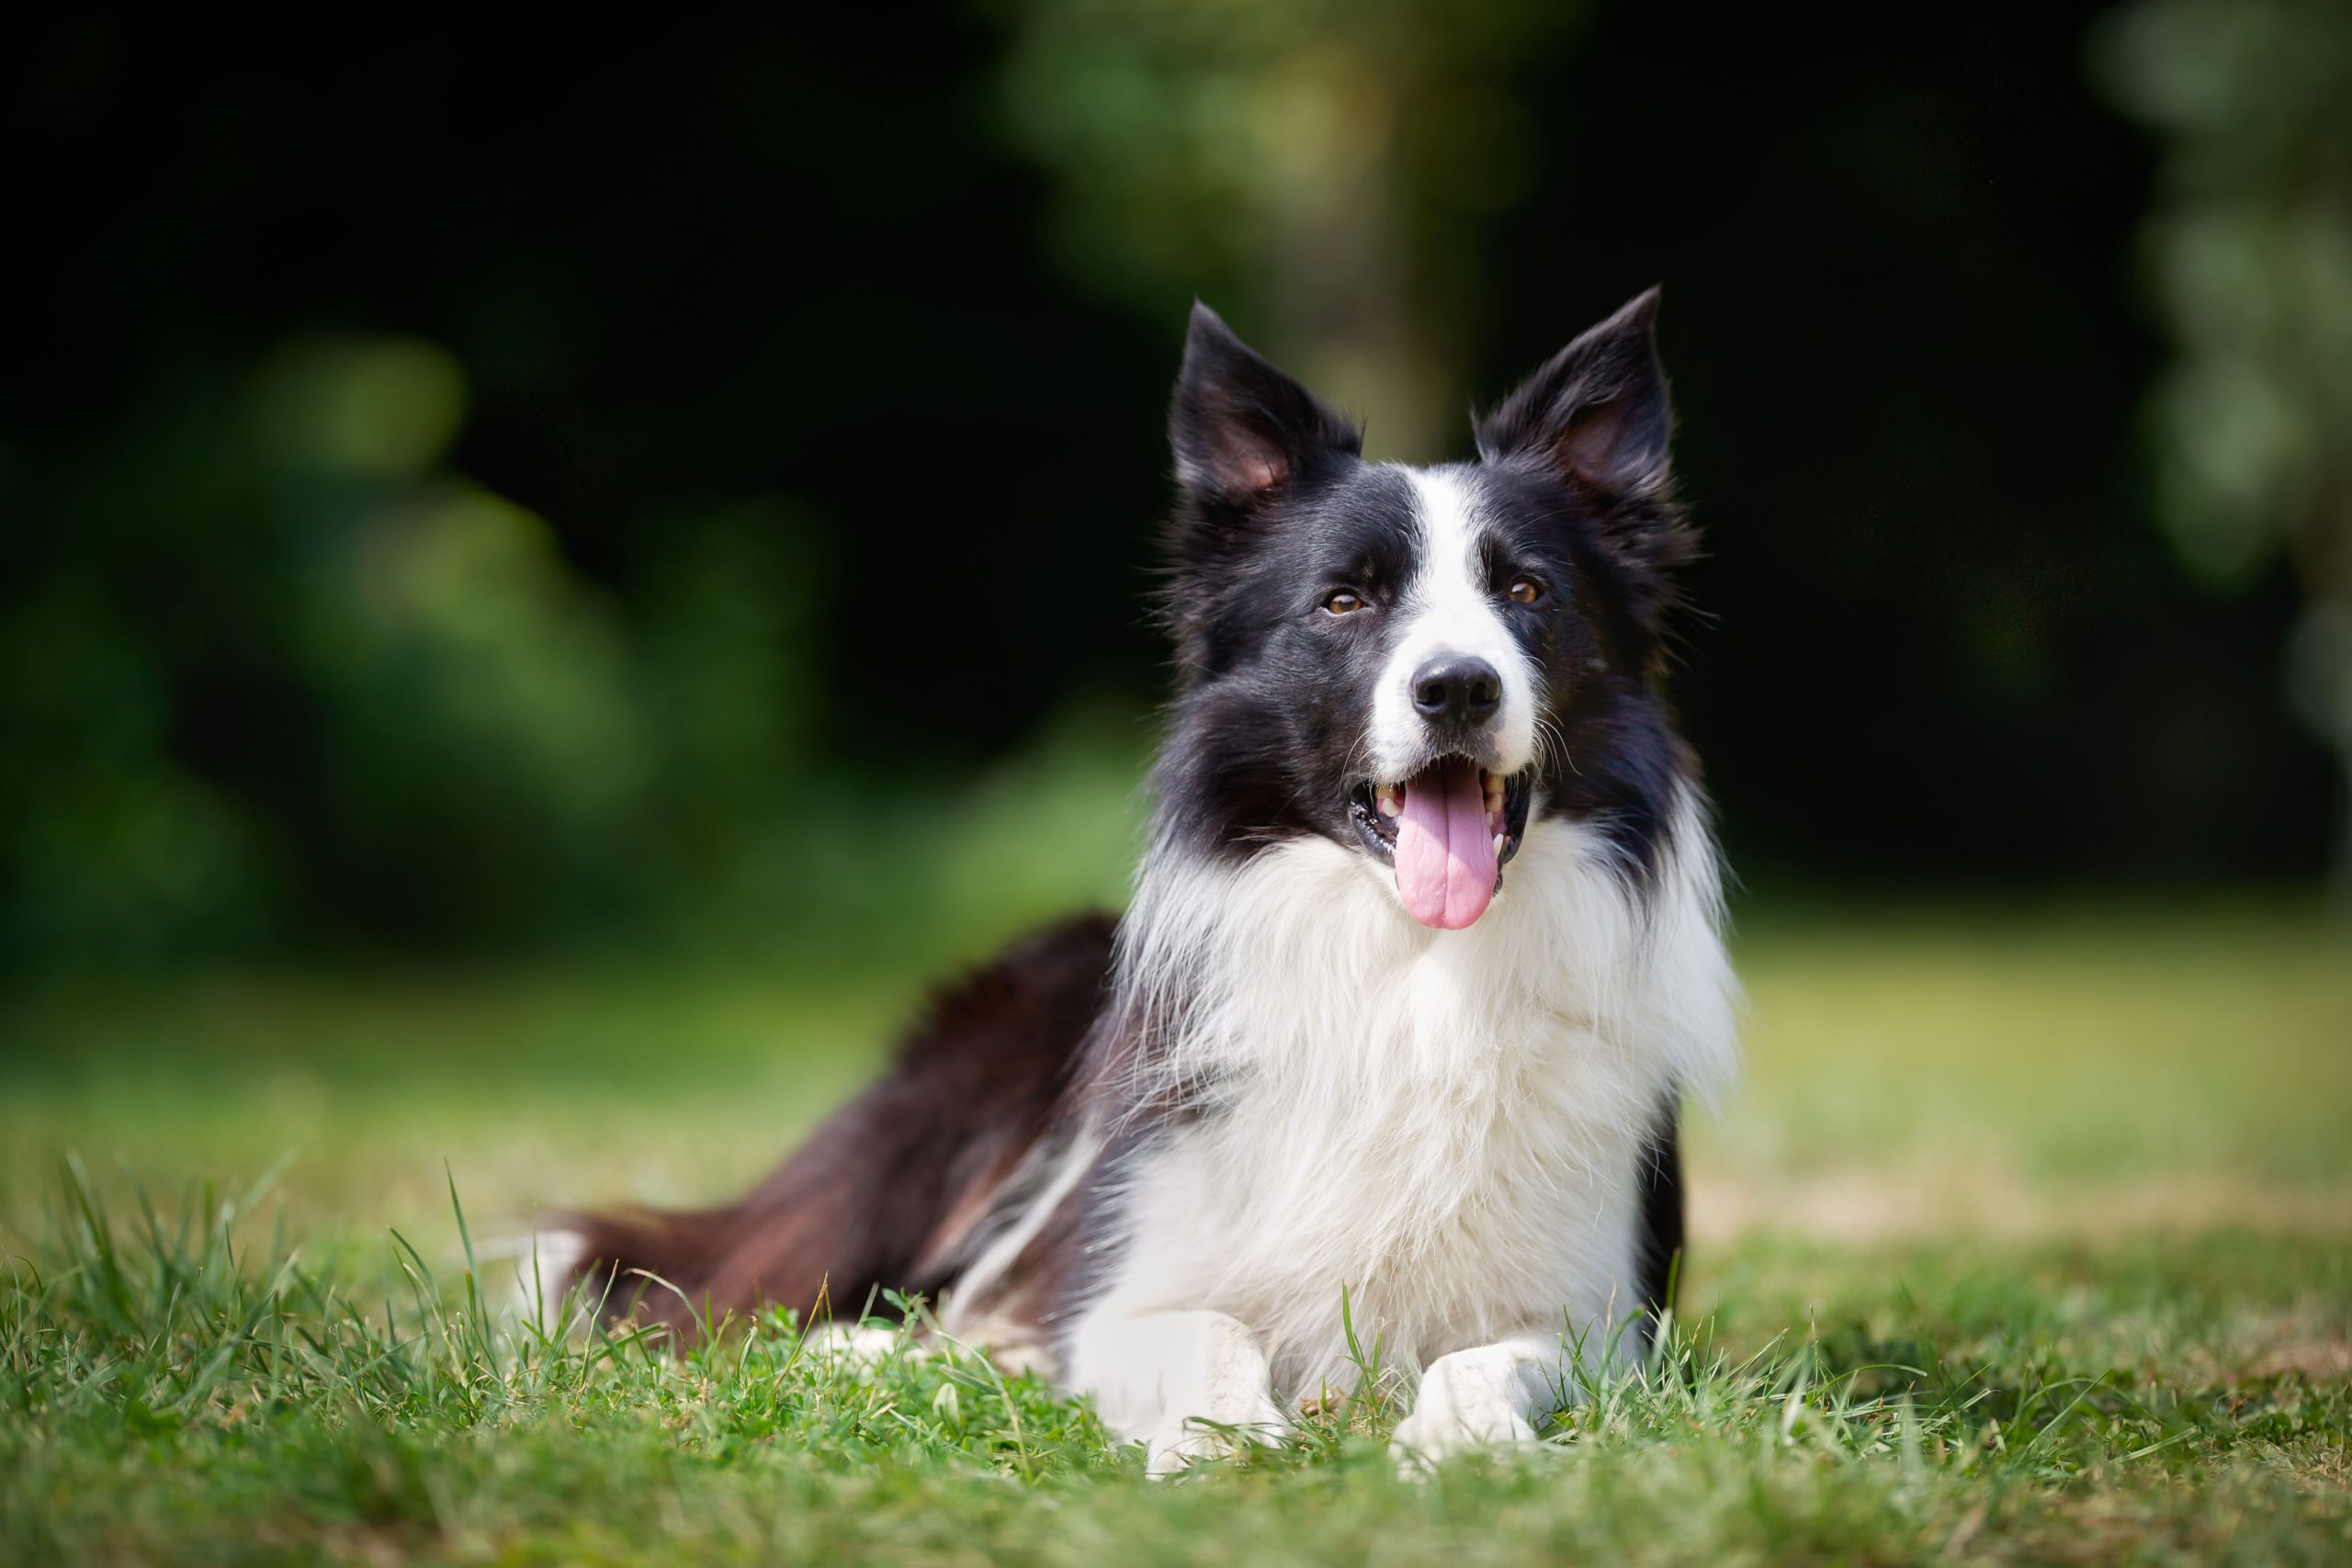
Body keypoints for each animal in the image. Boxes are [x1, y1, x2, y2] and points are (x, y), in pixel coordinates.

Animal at [545, 291, 1731, 1476]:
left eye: (1526, 590)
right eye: (1345, 601)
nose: (1457, 687)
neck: (1411, 967)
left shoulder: (1603, 1318)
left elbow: (1487, 1358)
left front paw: (1464, 1443)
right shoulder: (1122, 1284)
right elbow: (1201, 1332)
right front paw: (1224, 1443)